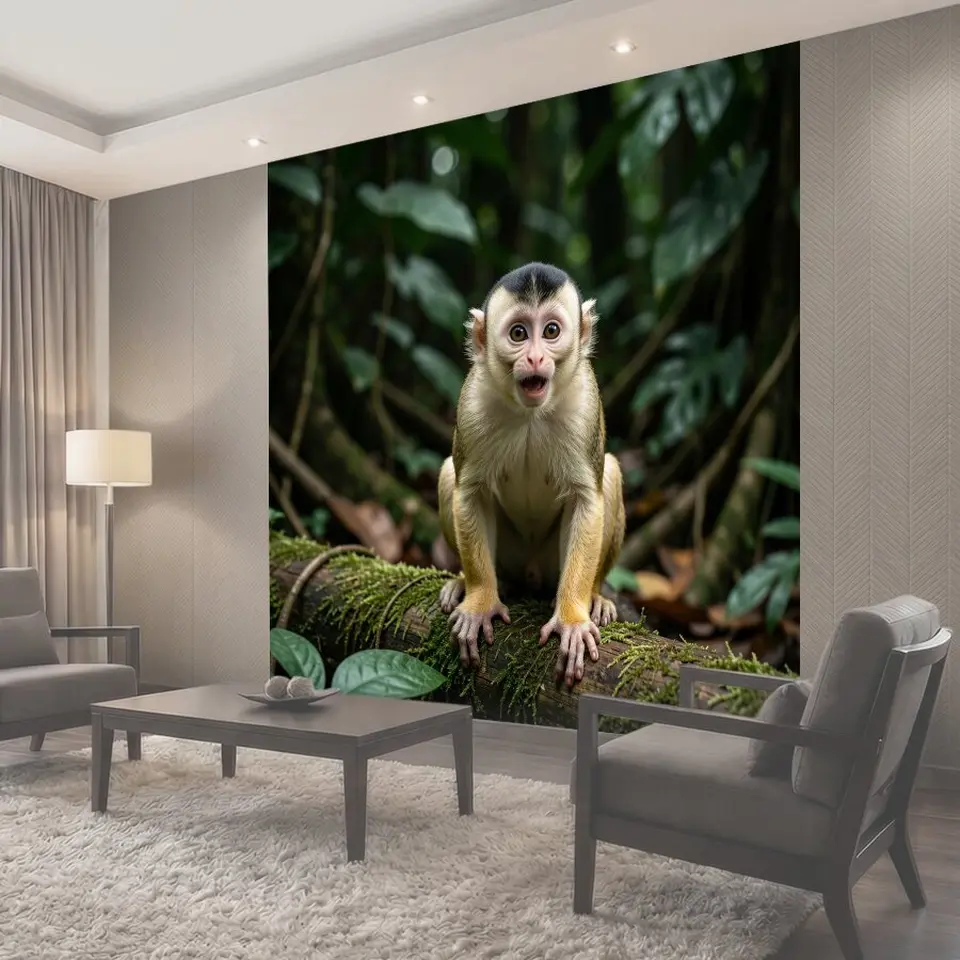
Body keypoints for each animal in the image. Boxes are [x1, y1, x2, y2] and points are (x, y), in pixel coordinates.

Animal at [436, 262, 626, 689]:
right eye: (519, 334)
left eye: (551, 331)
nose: (537, 358)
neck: (529, 413)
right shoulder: (472, 402)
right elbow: (470, 492)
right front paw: (479, 600)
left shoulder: (585, 402)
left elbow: (586, 498)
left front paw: (572, 618)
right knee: (447, 474)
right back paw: (470, 583)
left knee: (609, 474)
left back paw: (594, 596)